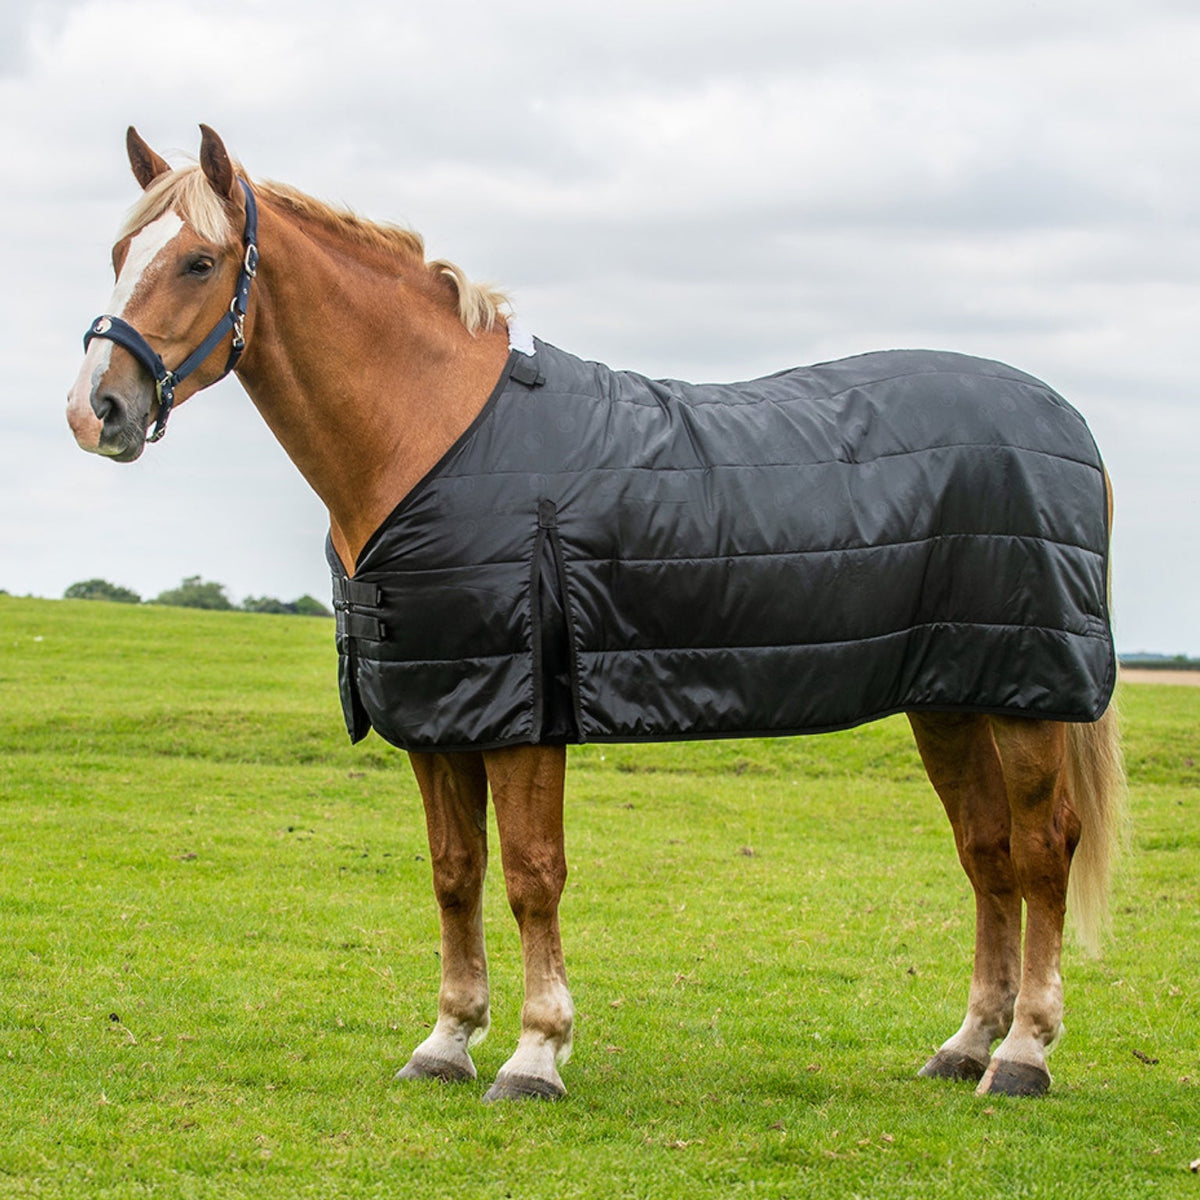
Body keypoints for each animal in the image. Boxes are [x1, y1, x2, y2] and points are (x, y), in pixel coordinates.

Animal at [66, 125, 1125, 1103]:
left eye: (199, 261)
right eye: (119, 253)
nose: (95, 410)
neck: (432, 433)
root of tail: (1064, 418)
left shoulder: (521, 713)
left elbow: (532, 874)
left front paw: (535, 1053)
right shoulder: (440, 711)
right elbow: (455, 872)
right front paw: (446, 1041)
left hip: (1027, 697)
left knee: (1041, 849)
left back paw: (1024, 1054)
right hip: (951, 695)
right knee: (987, 852)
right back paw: (967, 1046)